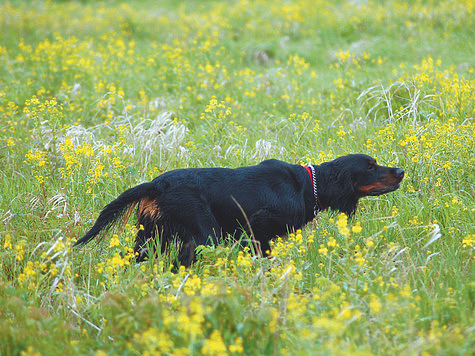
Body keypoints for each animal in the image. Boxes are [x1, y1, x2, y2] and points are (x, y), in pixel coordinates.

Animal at [75, 154, 406, 266]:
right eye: (371, 166)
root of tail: (156, 184)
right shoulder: (257, 230)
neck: (308, 186)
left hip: (151, 236)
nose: (401, 171)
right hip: (203, 235)